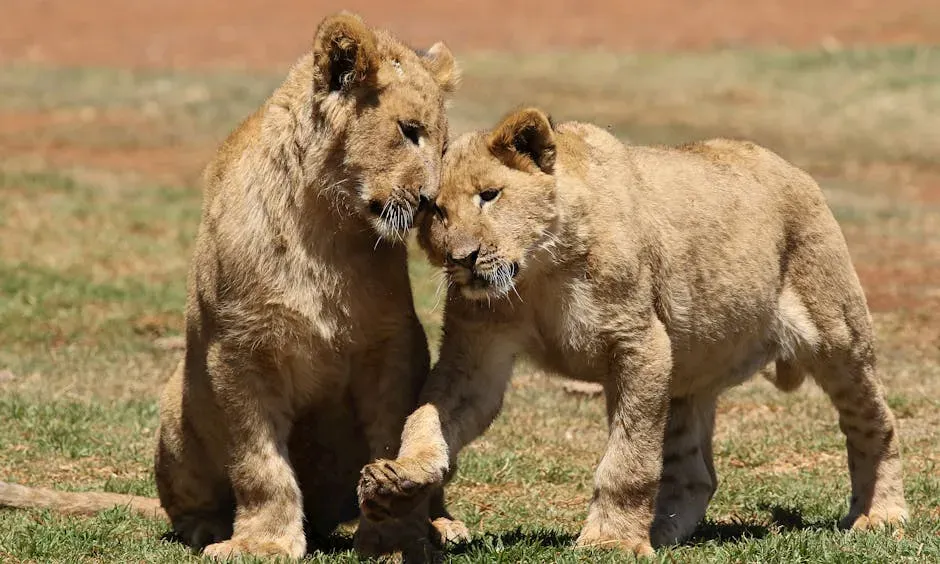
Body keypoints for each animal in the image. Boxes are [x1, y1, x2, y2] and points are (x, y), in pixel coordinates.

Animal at [0, 12, 467, 560]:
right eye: (408, 131)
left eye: (443, 147)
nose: (432, 202)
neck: (328, 229)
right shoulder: (238, 351)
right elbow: (258, 462)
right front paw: (262, 542)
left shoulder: (392, 347)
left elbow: (392, 438)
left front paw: (395, 534)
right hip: (176, 408)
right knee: (182, 505)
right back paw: (207, 528)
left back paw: (442, 524)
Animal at [357, 108, 909, 555]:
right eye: (434, 209)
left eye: (489, 195)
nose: (462, 259)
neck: (538, 275)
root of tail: (793, 170)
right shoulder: (476, 357)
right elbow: (428, 417)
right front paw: (398, 479)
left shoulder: (640, 344)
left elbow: (628, 459)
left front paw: (611, 541)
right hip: (689, 371)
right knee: (695, 474)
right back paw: (662, 534)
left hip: (837, 333)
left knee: (875, 422)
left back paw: (881, 516)